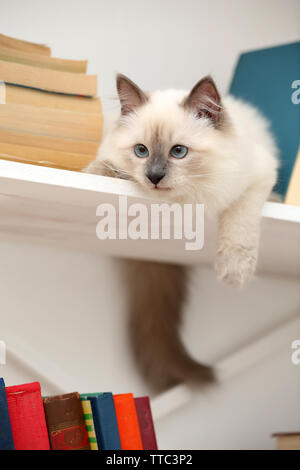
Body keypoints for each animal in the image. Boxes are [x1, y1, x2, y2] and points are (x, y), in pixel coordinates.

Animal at [85, 72, 278, 390]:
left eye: (178, 152)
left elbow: (240, 221)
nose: (154, 177)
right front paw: (93, 171)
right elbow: (107, 167)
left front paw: (234, 272)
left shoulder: (259, 176)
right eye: (141, 151)